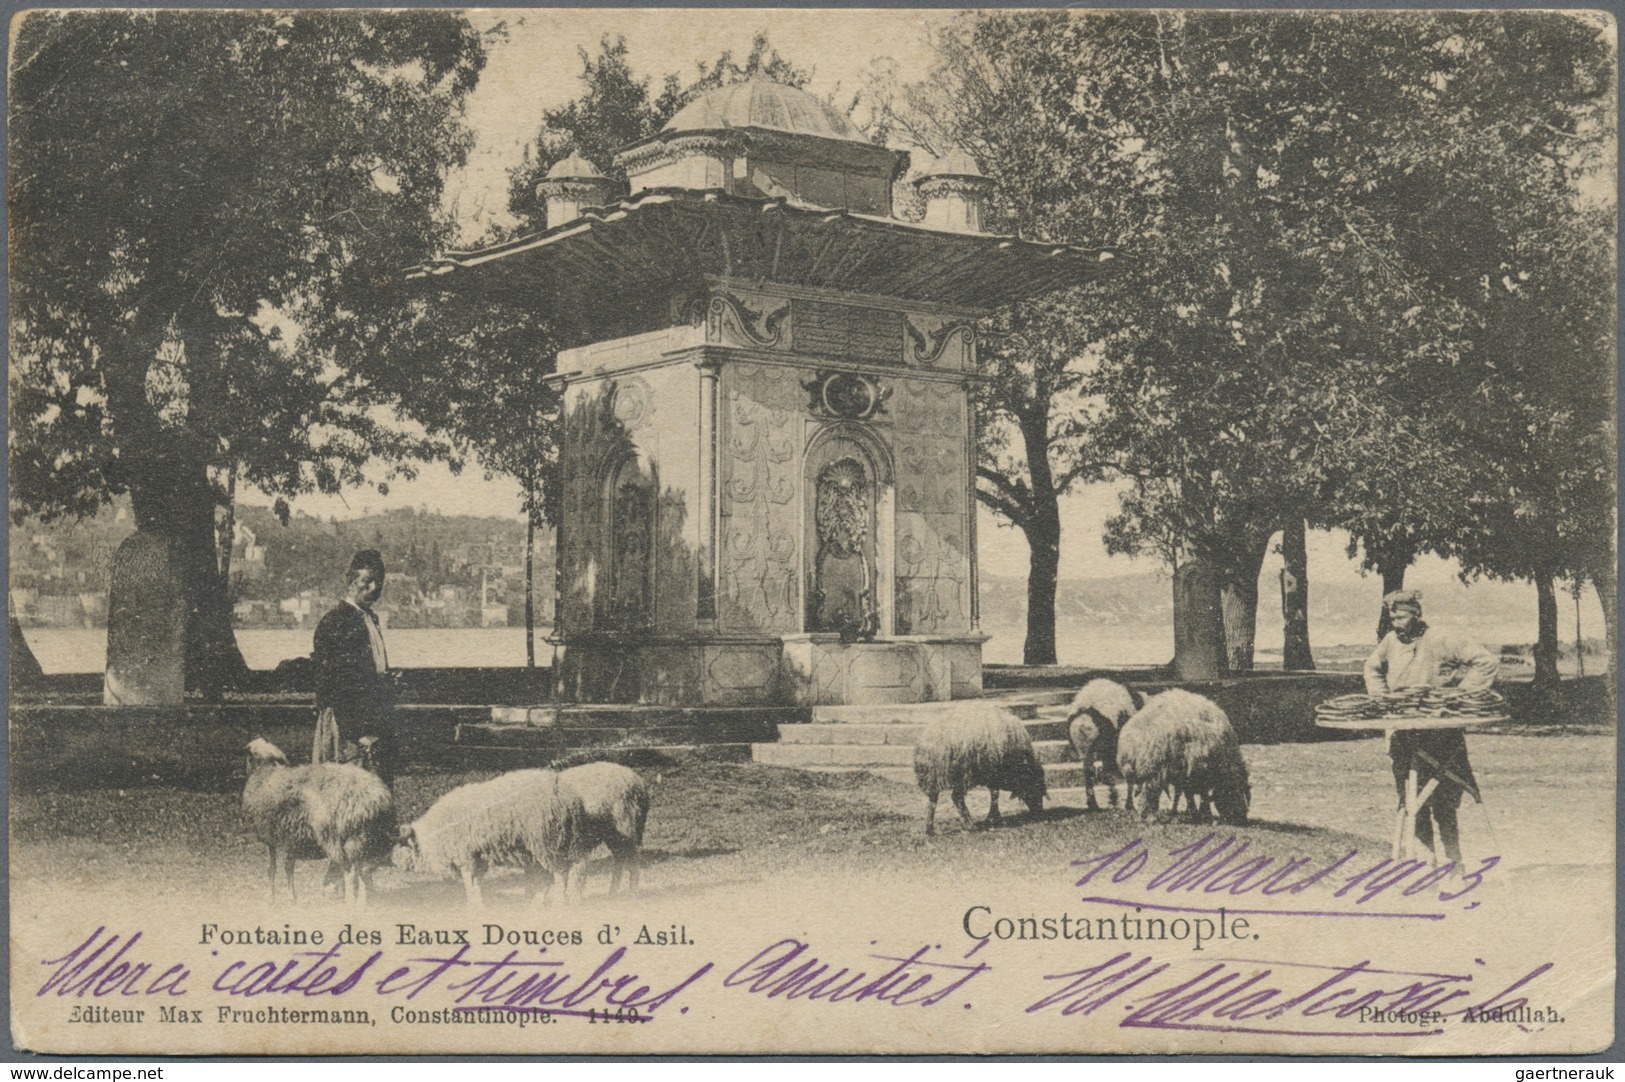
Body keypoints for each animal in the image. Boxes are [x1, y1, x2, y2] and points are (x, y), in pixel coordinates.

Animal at [238, 737, 394, 903]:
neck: (264, 772)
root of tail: (375, 798)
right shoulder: (290, 837)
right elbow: (288, 867)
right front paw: (292, 897)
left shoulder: (270, 837)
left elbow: (272, 869)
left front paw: (272, 897)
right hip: (362, 837)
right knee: (363, 869)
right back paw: (363, 902)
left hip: (336, 835)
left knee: (350, 871)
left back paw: (350, 902)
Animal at [390, 763, 588, 903]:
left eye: (402, 843)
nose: (393, 860)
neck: (434, 833)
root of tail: (569, 796)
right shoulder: (477, 859)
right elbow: (476, 885)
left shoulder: (466, 857)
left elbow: (469, 886)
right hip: (549, 847)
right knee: (553, 878)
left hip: (548, 842)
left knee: (562, 875)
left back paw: (558, 903)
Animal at [910, 698, 1046, 831]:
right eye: (1036, 786)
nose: (1040, 813)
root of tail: (932, 742)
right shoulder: (994, 772)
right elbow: (995, 794)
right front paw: (993, 817)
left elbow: (994, 793)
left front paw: (993, 817)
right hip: (962, 773)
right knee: (956, 797)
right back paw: (970, 825)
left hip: (932, 775)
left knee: (932, 799)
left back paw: (929, 828)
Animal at [1111, 685, 1248, 822]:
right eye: (1237, 793)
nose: (1243, 818)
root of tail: (1139, 739)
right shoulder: (1199, 769)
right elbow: (1200, 794)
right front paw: (1203, 813)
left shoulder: (1184, 771)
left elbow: (1184, 793)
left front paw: (1185, 811)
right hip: (1154, 766)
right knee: (1148, 792)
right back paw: (1147, 815)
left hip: (1134, 766)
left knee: (1134, 787)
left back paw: (1138, 811)